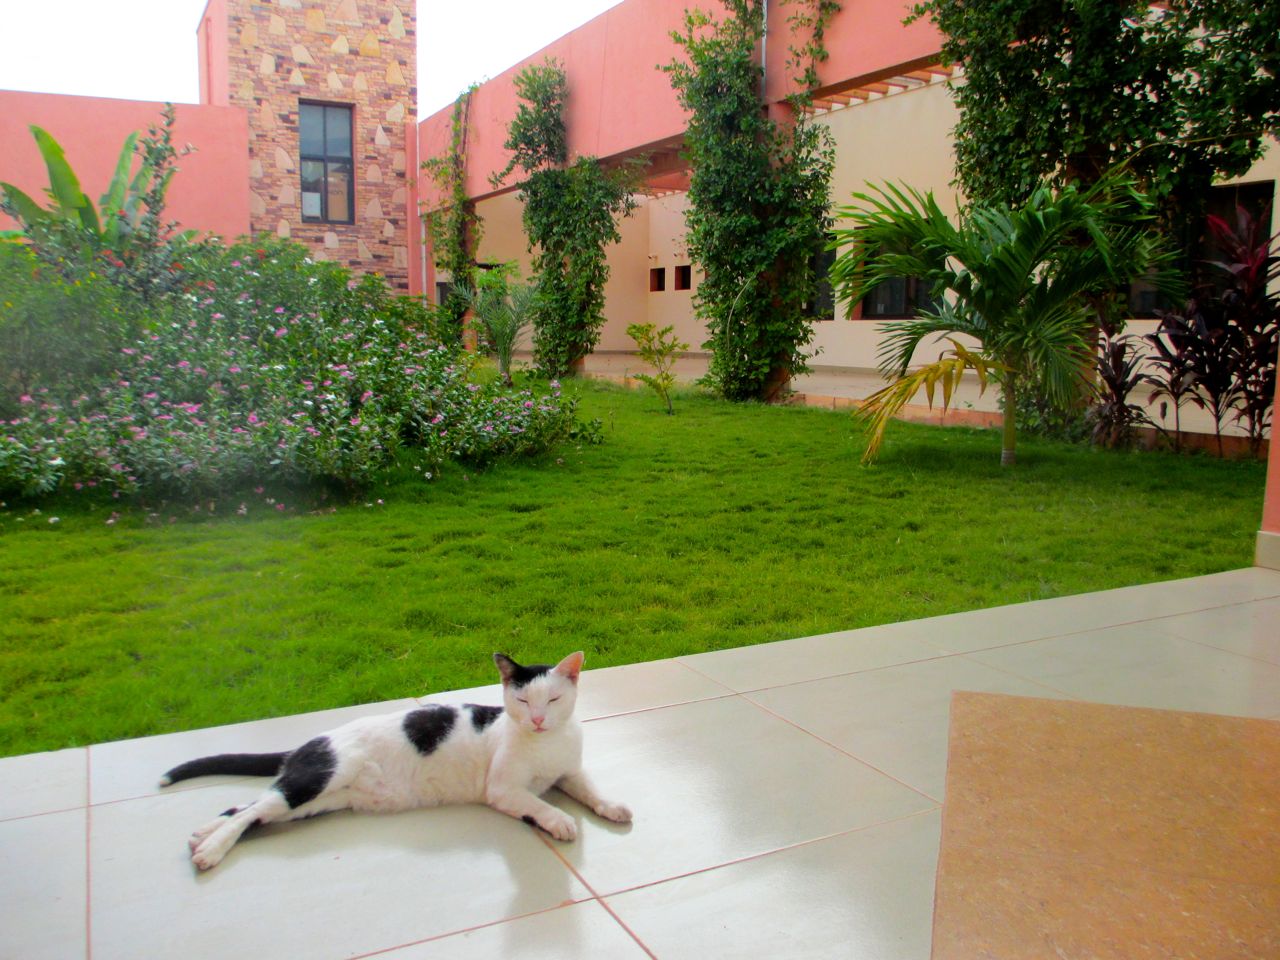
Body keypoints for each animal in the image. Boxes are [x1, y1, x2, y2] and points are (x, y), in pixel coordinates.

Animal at [160, 651, 632, 871]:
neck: (545, 743)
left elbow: (590, 789)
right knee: (250, 809)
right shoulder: (503, 790)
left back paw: (202, 835)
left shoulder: (570, 773)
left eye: (552, 700)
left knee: (249, 807)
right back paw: (210, 849)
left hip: (310, 802)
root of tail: (315, 739)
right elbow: (538, 803)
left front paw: (611, 806)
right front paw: (560, 820)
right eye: (521, 700)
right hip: (315, 781)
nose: (536, 719)